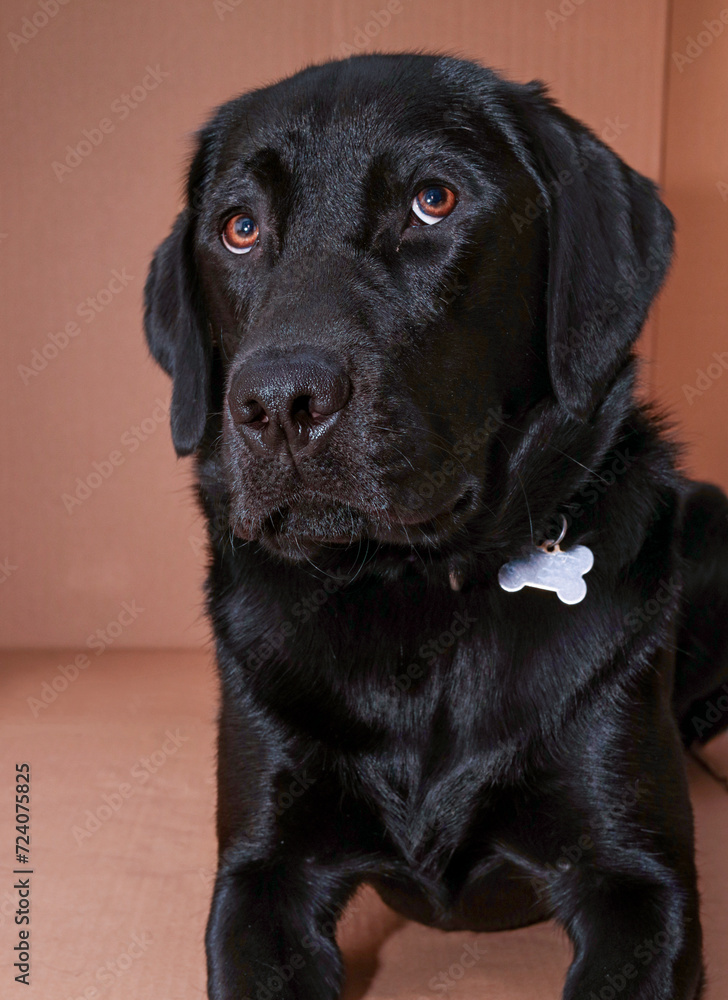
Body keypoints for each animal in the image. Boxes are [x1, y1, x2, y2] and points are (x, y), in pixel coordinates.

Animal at [145, 54, 728, 1000]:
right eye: (238, 227)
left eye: (433, 200)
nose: (278, 403)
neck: (415, 586)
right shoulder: (259, 873)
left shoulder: (644, 884)